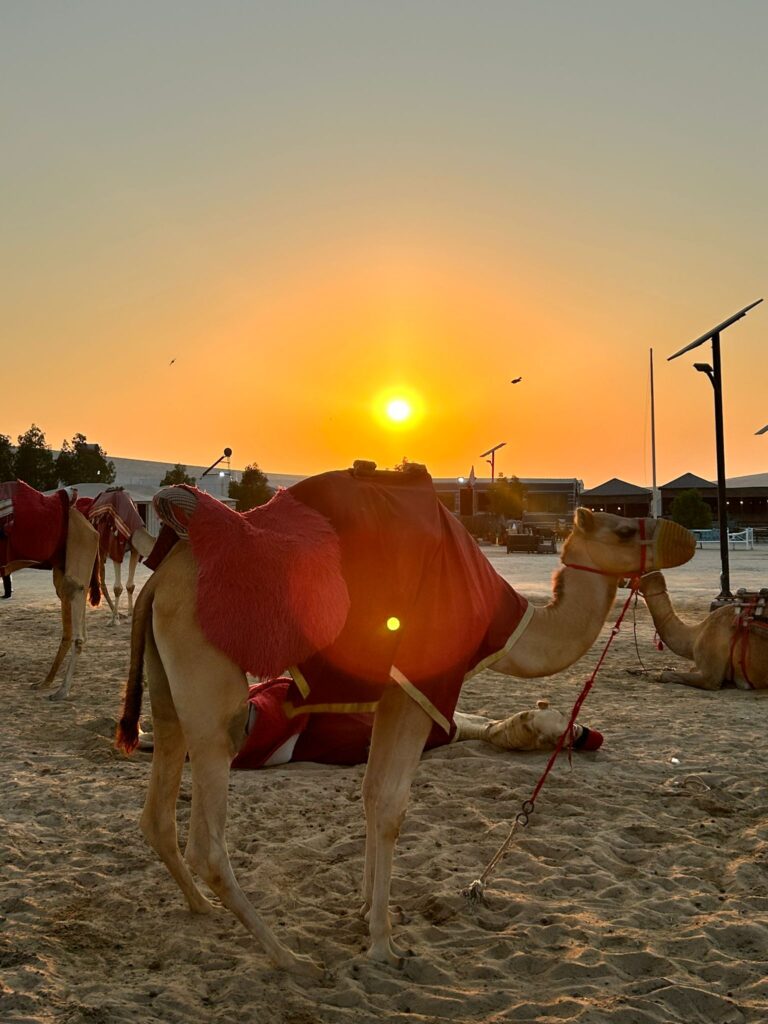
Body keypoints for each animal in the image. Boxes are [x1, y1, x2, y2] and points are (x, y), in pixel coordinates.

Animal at [0, 479, 101, 696]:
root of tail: (90, 525)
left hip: (77, 563)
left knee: (78, 629)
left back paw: (62, 690)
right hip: (62, 568)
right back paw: (45, 682)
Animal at [84, 487, 155, 622]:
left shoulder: (135, 550)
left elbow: (130, 586)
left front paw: (130, 614)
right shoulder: (116, 550)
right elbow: (117, 588)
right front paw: (113, 620)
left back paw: (118, 613)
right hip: (99, 546)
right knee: (100, 578)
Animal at [114, 464, 696, 974]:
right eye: (626, 528)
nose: (686, 538)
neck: (503, 622)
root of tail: (158, 583)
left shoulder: (390, 696)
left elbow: (371, 796)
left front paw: (365, 911)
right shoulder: (421, 688)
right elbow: (392, 806)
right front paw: (383, 945)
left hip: (167, 689)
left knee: (158, 806)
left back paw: (203, 909)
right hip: (214, 687)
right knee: (208, 833)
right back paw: (292, 960)